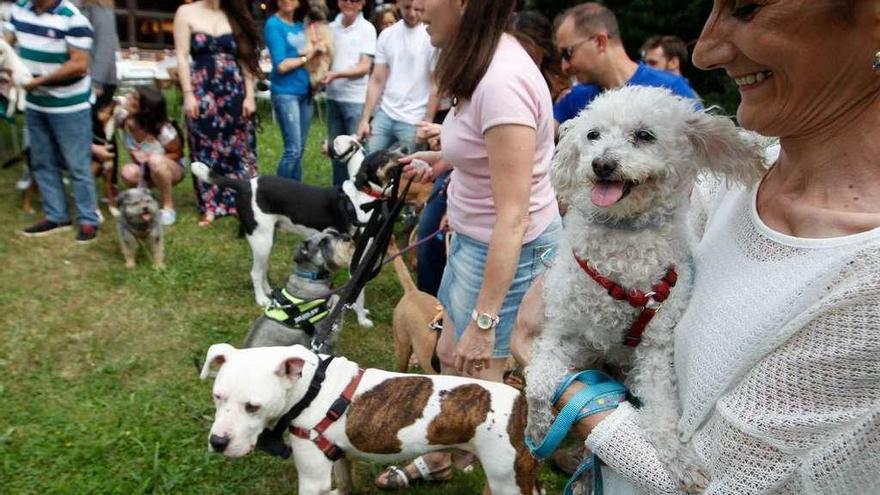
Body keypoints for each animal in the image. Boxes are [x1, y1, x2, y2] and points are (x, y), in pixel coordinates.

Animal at [203, 344, 540, 495]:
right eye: (217, 396)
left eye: (252, 407)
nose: (217, 442)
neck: (311, 387)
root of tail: (521, 402)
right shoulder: (337, 457)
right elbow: (344, 483)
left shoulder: (312, 478)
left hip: (506, 480)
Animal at [524, 87, 768, 494]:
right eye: (593, 135)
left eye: (644, 135)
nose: (602, 164)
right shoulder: (564, 333)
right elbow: (538, 385)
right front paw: (538, 429)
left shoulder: (655, 349)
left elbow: (663, 416)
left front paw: (682, 460)